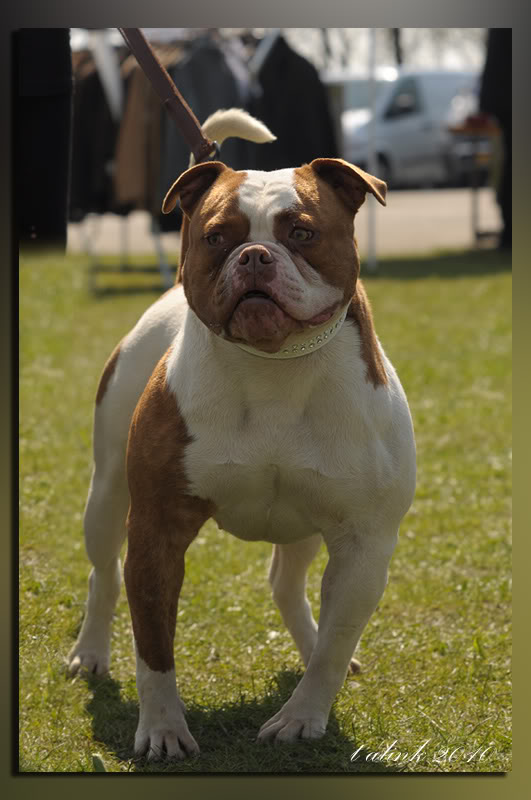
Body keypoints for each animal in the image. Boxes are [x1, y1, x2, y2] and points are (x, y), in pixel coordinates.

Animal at [67, 109, 416, 760]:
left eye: (301, 232)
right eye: (216, 237)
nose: (254, 256)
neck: (273, 366)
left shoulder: (364, 541)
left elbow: (334, 646)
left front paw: (303, 717)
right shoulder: (156, 532)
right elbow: (153, 645)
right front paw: (162, 729)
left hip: (306, 523)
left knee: (288, 584)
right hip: (107, 495)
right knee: (104, 574)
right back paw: (91, 652)